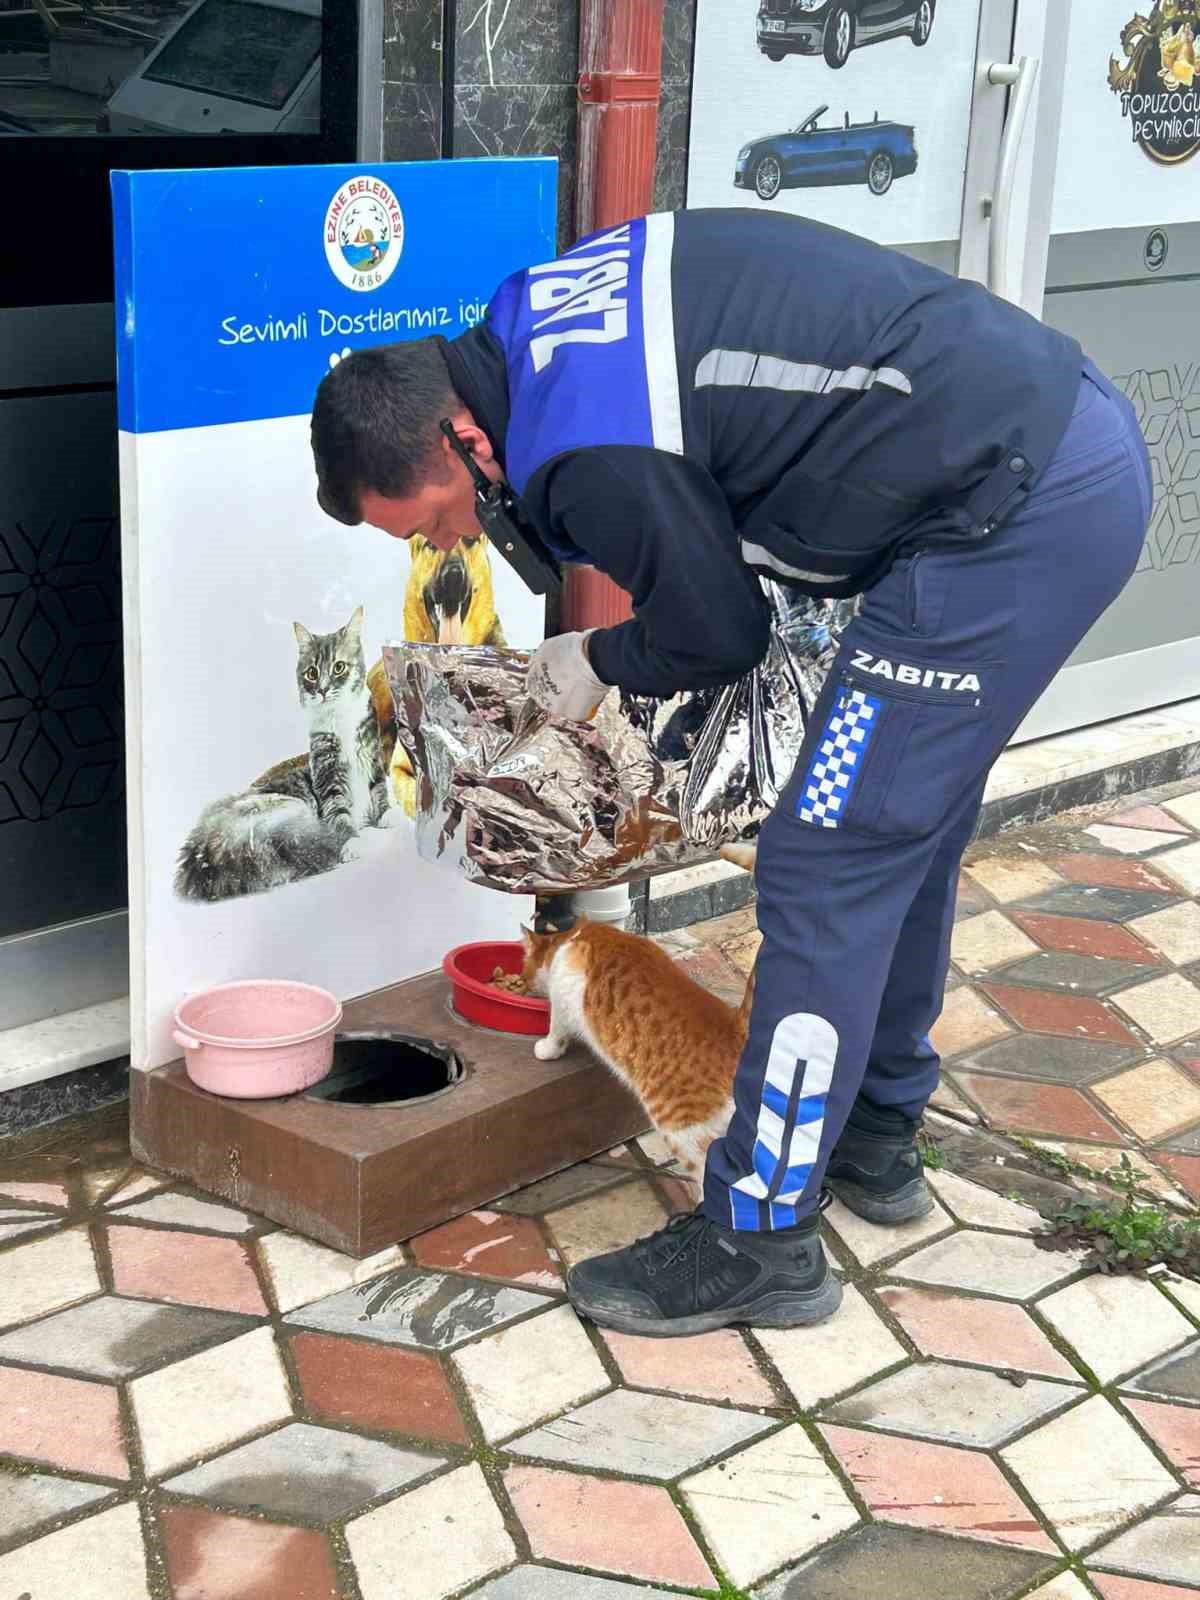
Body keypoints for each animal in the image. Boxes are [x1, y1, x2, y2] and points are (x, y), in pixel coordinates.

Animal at [521, 908, 755, 1184]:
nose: (523, 985)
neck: (573, 936)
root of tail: (736, 1030)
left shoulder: (561, 996)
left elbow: (556, 1029)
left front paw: (547, 1049)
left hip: (681, 1130)